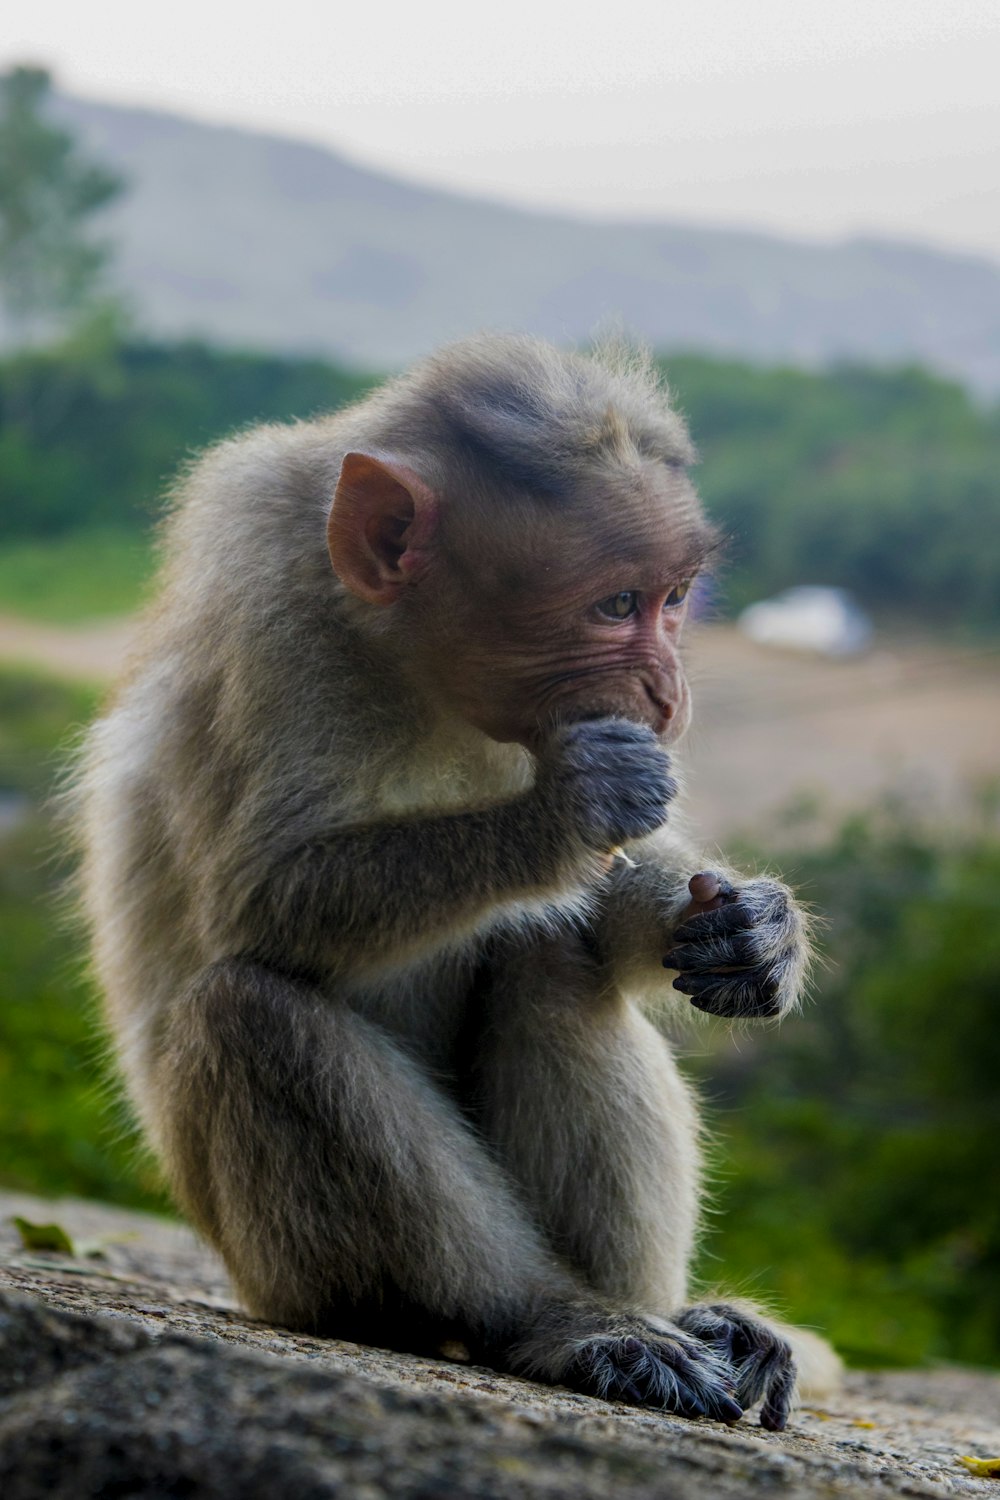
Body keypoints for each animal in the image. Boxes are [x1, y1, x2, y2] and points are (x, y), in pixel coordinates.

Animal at [74, 334, 827, 1434]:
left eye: (675, 598)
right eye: (615, 605)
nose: (669, 692)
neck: (412, 668)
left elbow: (604, 904)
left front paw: (755, 932)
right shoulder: (268, 612)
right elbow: (256, 897)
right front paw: (567, 811)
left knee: (550, 957)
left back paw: (674, 1318)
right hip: (278, 1269)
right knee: (247, 1011)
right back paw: (548, 1320)